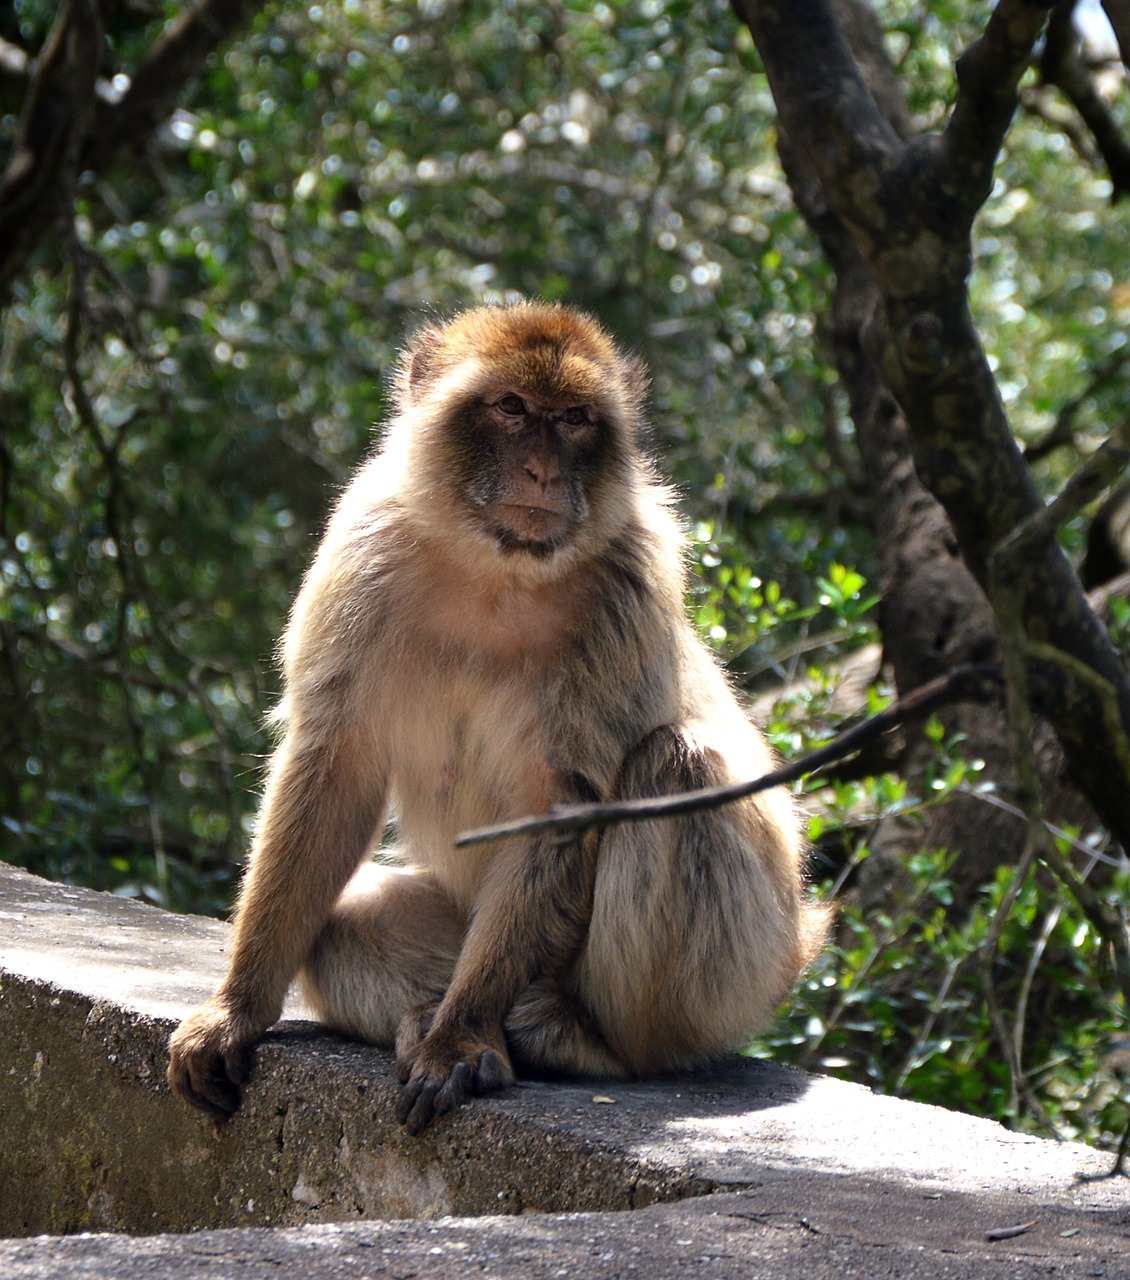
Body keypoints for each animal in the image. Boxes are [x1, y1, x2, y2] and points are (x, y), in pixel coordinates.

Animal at [165, 304, 829, 1136]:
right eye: (512, 408)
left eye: (575, 421)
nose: (543, 471)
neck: (496, 571)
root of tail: (799, 941)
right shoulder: (362, 547)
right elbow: (334, 765)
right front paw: (237, 1009)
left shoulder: (632, 578)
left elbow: (562, 800)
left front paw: (459, 1038)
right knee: (341, 927)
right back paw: (431, 1013)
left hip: (744, 977)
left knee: (677, 767)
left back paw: (575, 1037)